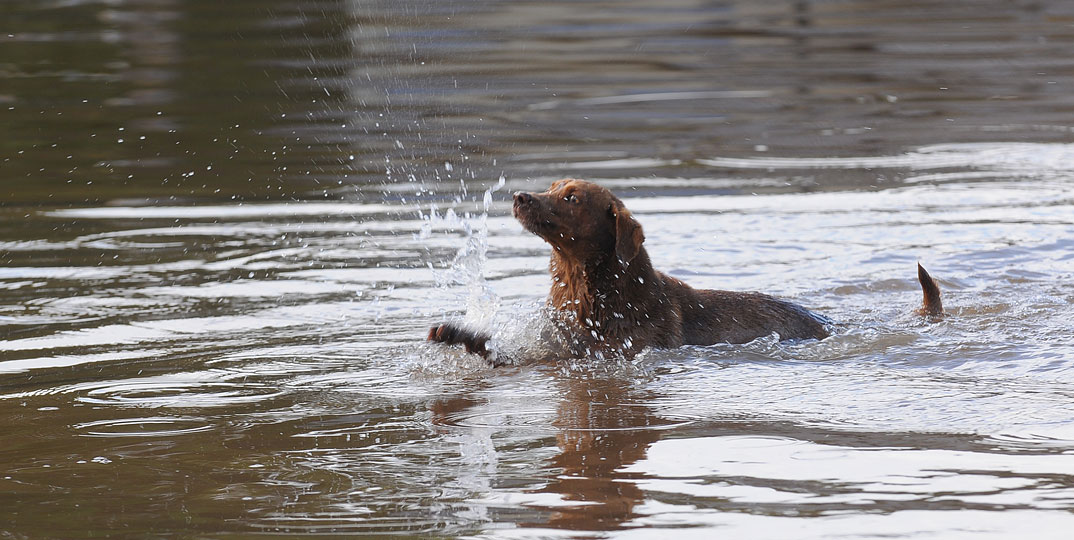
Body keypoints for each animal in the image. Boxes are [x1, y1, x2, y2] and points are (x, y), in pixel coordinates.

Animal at [427, 180, 940, 362]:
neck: (590, 291)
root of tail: (829, 322)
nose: (520, 197)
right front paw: (458, 334)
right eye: (553, 187)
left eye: (570, 197)